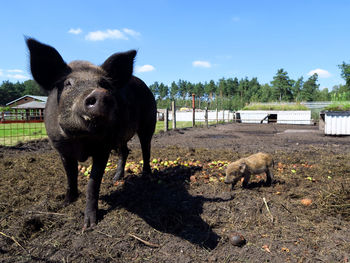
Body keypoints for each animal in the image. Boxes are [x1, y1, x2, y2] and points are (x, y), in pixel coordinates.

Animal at [27, 37, 157, 229]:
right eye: (68, 83)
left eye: (104, 84)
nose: (101, 94)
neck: (80, 138)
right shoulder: (61, 148)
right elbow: (70, 176)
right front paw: (65, 203)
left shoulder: (103, 148)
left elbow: (93, 183)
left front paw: (89, 225)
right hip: (120, 136)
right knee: (125, 151)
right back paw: (115, 179)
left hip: (149, 122)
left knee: (146, 148)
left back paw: (146, 176)